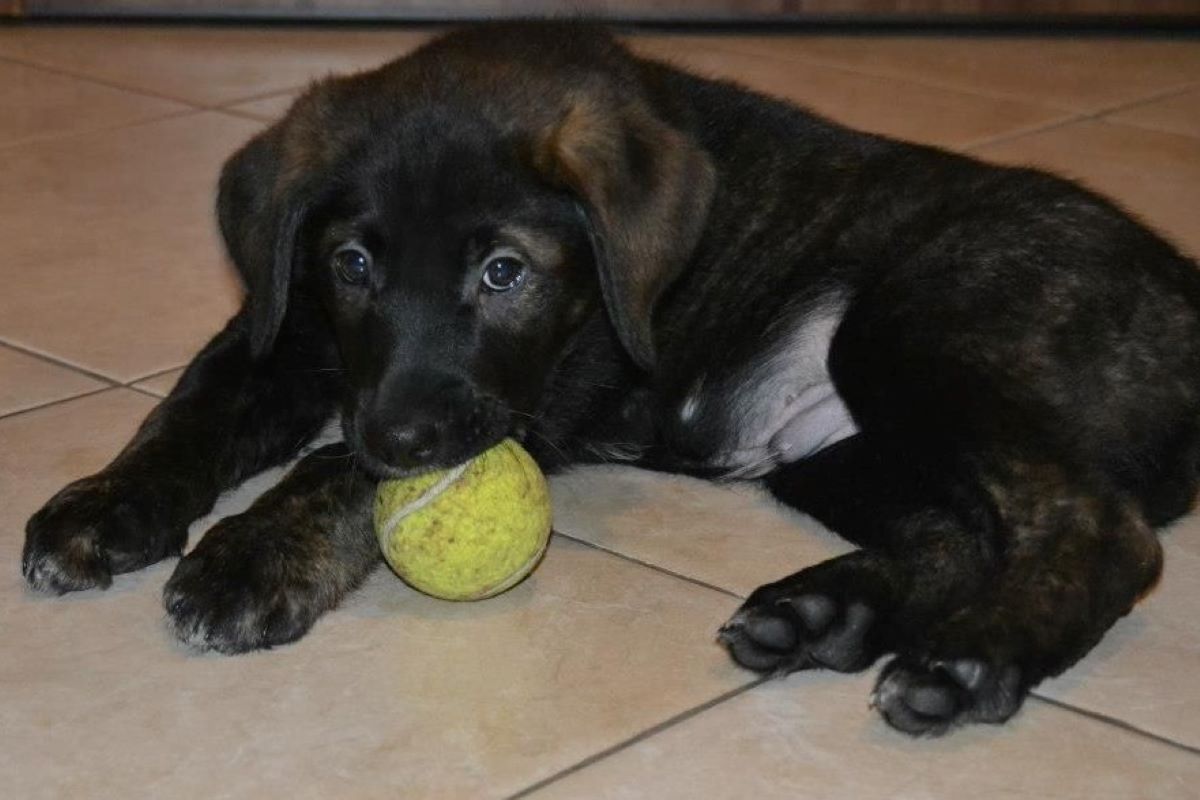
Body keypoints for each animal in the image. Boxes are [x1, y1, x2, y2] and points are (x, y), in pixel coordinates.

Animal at [21, 23, 1200, 738]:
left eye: (504, 272)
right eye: (352, 263)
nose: (400, 439)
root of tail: (1184, 293)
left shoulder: (523, 398)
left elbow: (329, 473)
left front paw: (252, 554)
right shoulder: (285, 328)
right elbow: (188, 412)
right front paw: (102, 505)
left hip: (909, 335)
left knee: (1101, 529)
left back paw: (971, 659)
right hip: (842, 455)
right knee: (961, 535)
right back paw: (820, 611)